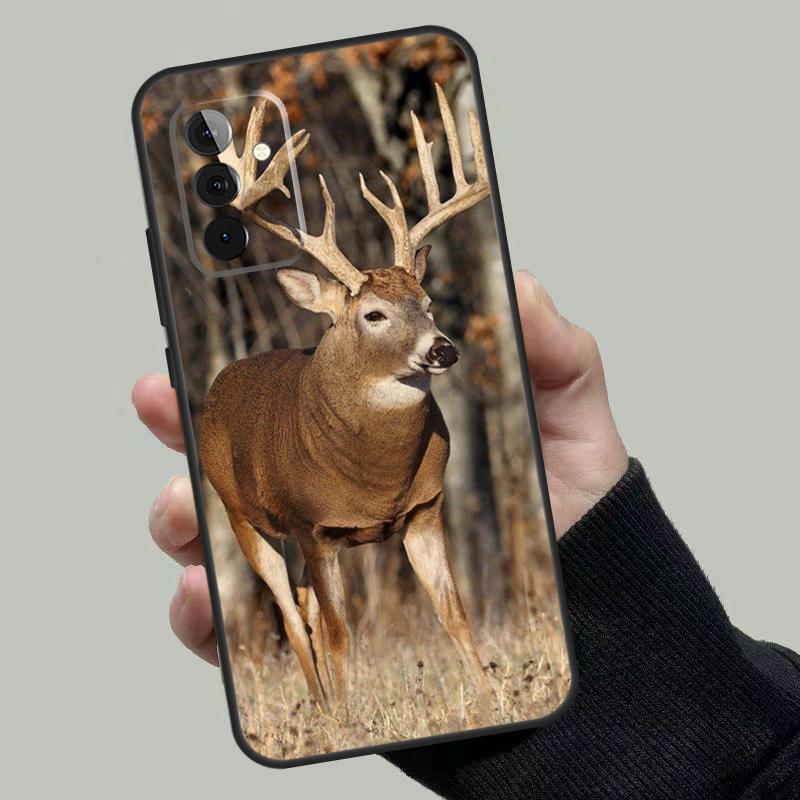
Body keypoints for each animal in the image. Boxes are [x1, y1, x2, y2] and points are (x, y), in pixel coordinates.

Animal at [200, 84, 492, 710]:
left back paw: (329, 704)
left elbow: (454, 614)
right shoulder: (315, 527)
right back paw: (328, 713)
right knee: (291, 617)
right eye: (373, 314)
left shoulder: (425, 509)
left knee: (302, 605)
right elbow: (340, 634)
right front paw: (352, 718)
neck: (377, 480)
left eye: (427, 302)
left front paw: (492, 698)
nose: (443, 349)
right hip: (240, 515)